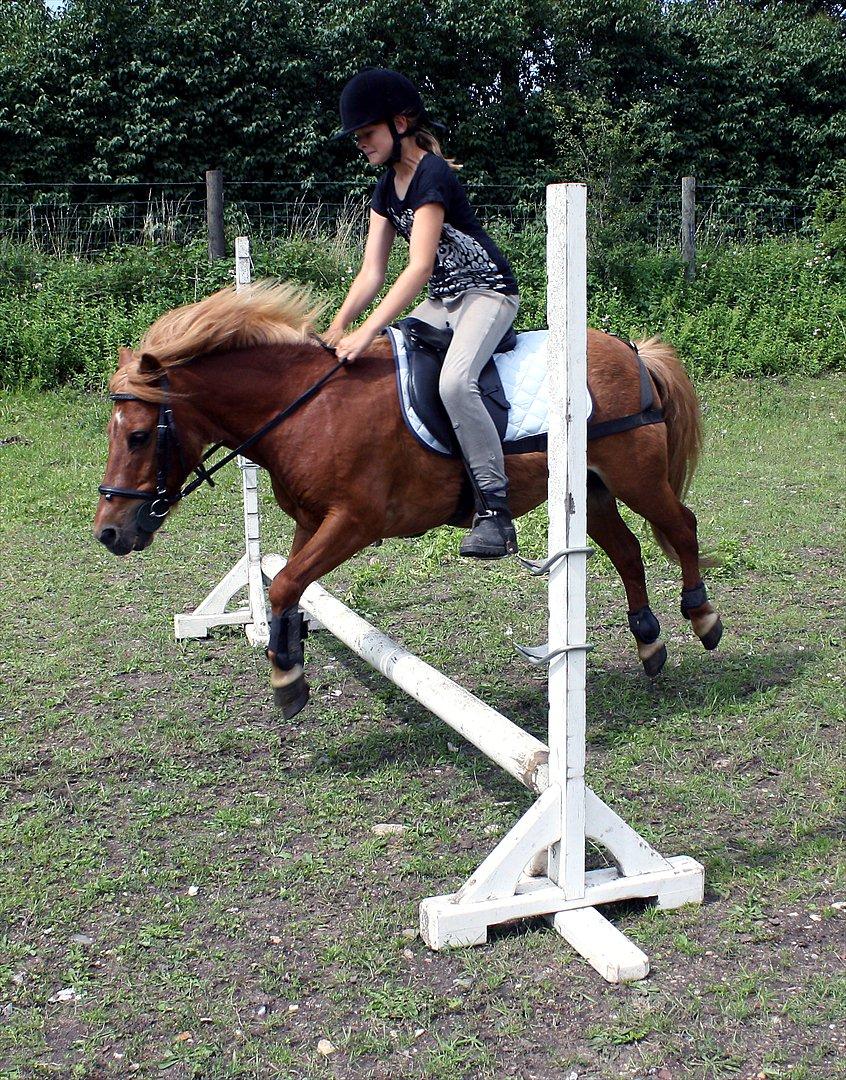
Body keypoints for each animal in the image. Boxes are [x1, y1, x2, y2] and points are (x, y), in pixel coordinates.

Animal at [96, 282, 726, 712]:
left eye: (137, 435)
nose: (109, 531)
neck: (305, 410)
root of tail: (633, 353)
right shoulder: (309, 523)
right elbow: (286, 587)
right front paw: (285, 655)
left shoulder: (354, 522)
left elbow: (283, 584)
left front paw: (288, 678)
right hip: (590, 492)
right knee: (628, 551)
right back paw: (648, 641)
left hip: (636, 479)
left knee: (683, 527)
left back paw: (703, 617)